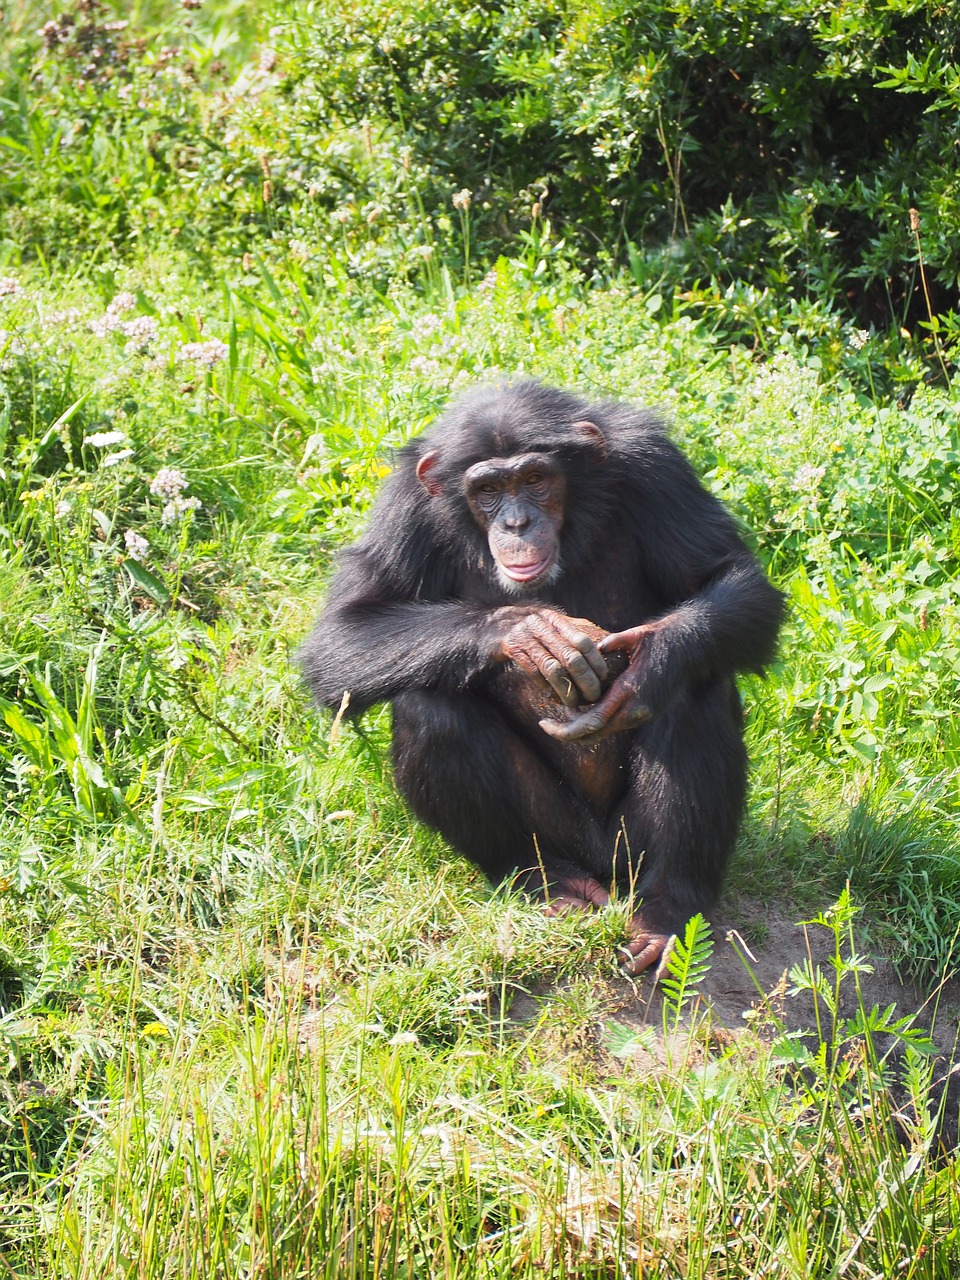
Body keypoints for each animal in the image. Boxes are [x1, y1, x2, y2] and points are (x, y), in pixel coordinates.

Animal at [304, 376, 783, 967]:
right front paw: (527, 631)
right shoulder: (403, 507)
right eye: (488, 490)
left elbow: (734, 578)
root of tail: (601, 869)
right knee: (431, 710)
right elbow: (341, 634)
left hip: (628, 849)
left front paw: (652, 660)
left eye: (535, 480)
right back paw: (547, 882)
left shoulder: (657, 467)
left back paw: (667, 909)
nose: (516, 523)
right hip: (561, 835)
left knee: (695, 690)